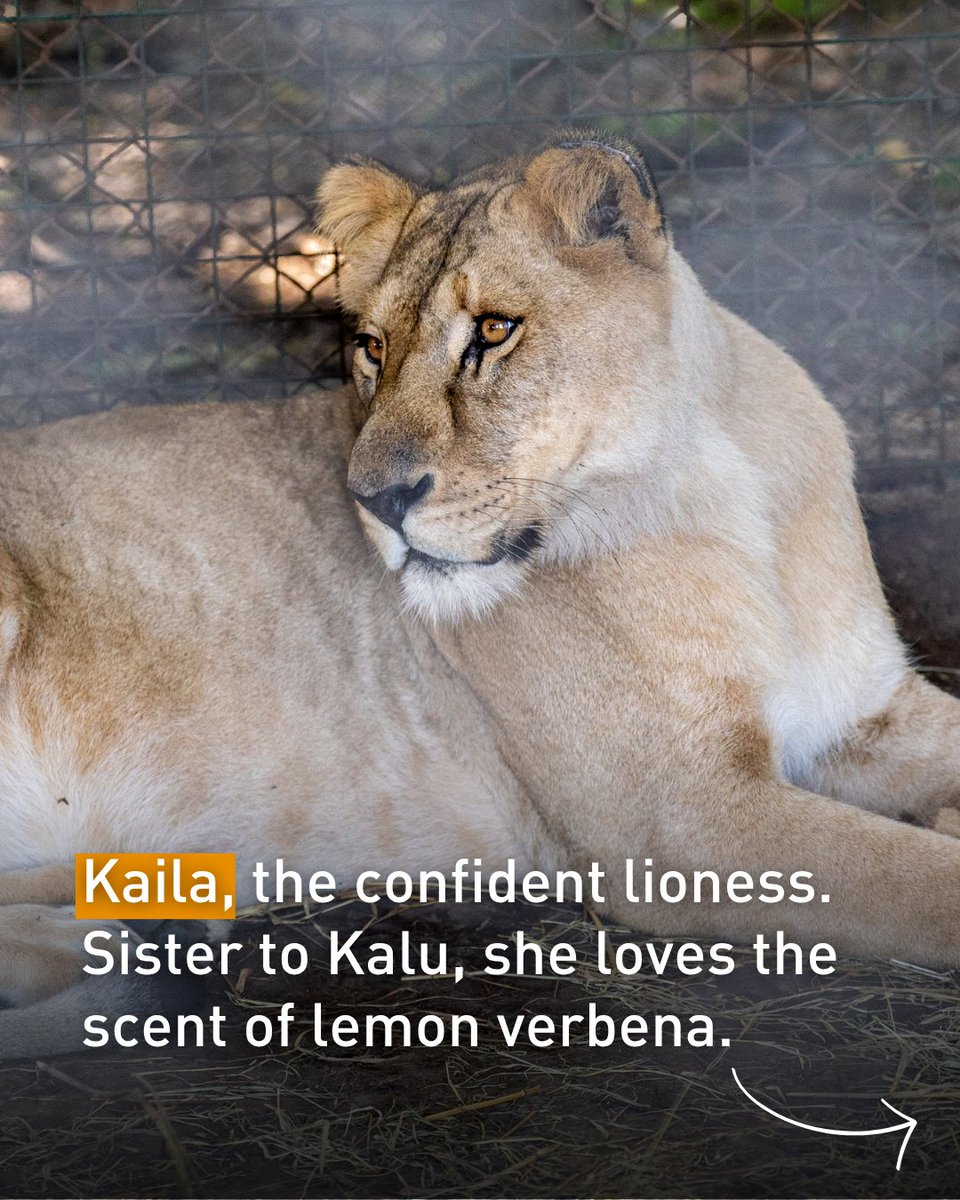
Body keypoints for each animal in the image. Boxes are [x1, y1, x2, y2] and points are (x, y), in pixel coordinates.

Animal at [1, 130, 959, 1058]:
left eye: (494, 330)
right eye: (372, 347)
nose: (376, 501)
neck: (722, 482)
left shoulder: (866, 715)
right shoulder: (681, 819)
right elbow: (920, 883)